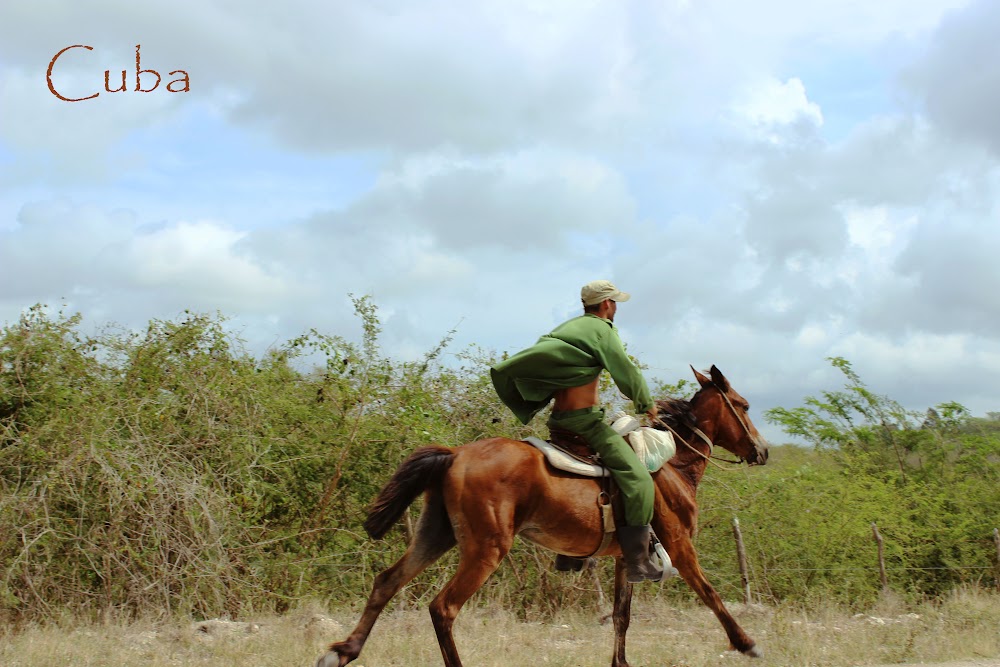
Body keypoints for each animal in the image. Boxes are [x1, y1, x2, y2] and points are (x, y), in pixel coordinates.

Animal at [316, 366, 768, 667]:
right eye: (743, 405)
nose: (762, 451)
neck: (672, 464)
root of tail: (456, 454)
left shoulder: (628, 559)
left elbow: (621, 617)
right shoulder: (679, 545)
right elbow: (711, 594)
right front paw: (746, 643)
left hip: (436, 534)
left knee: (386, 582)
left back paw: (343, 652)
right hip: (486, 549)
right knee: (443, 607)